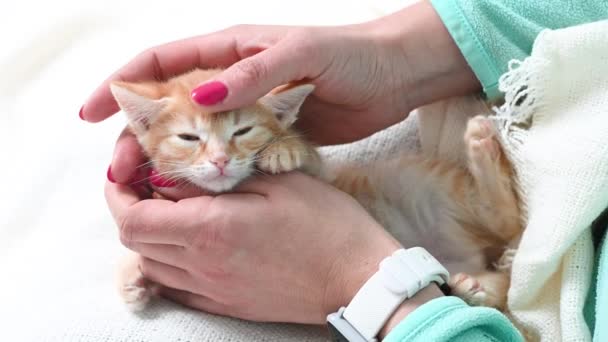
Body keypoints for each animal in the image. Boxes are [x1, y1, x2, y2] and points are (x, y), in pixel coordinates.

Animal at [110, 68, 524, 312]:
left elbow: (307, 154)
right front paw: (133, 273)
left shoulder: (320, 174)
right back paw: (477, 287)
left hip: (427, 182)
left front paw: (284, 148)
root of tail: (468, 252)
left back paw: (481, 142)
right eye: (188, 137)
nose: (220, 161)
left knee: (507, 220)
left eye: (242, 131)